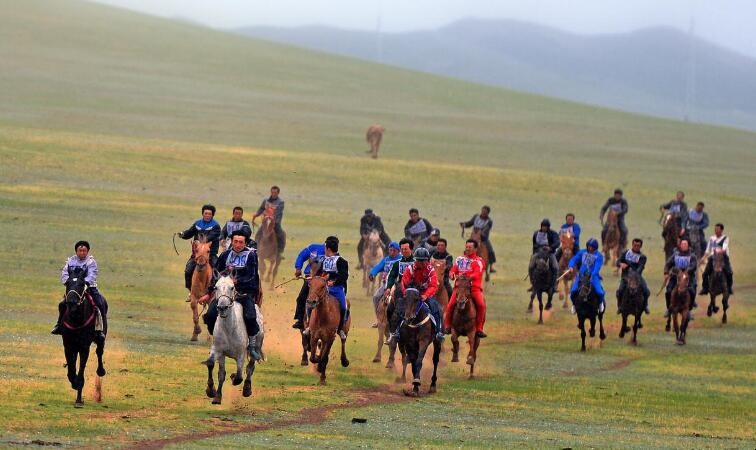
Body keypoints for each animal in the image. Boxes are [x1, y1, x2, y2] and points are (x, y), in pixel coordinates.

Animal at [60, 268, 105, 408]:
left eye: (81, 284)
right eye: (67, 283)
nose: (71, 303)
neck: (76, 319)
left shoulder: (84, 347)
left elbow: (80, 373)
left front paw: (79, 400)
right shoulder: (68, 345)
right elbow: (71, 369)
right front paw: (73, 383)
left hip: (100, 338)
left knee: (99, 352)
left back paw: (101, 371)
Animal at [205, 274, 264, 404]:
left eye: (232, 287)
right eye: (216, 287)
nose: (222, 307)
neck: (229, 329)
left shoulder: (240, 354)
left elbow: (238, 376)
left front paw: (232, 377)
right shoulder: (219, 351)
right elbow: (217, 370)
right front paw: (213, 393)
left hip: (256, 347)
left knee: (250, 368)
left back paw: (247, 389)